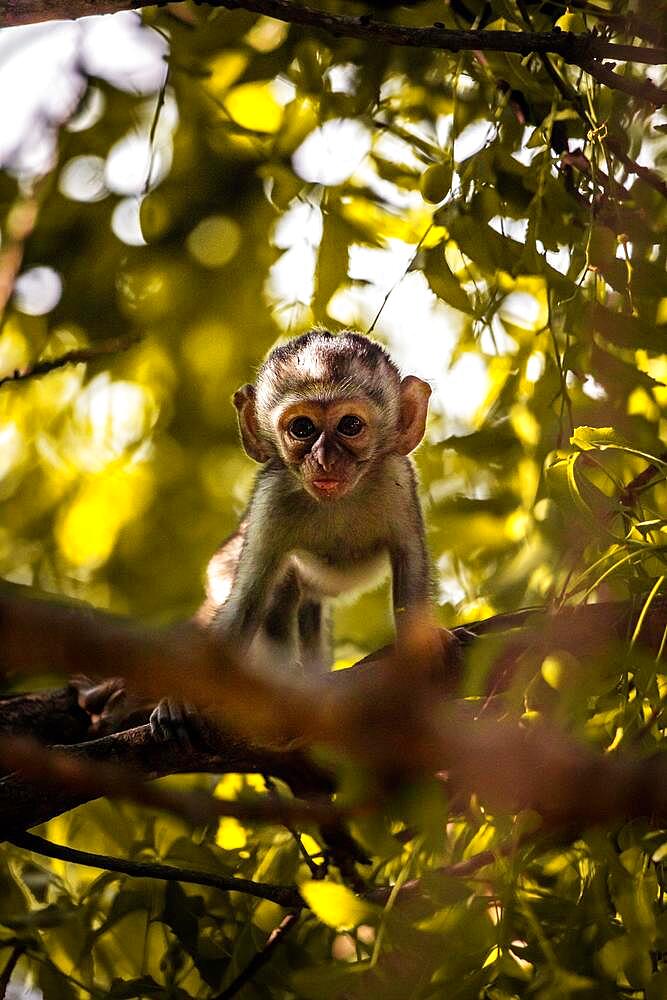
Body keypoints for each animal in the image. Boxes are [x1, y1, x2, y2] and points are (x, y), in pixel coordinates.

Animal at [201, 332, 436, 676]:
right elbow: (247, 603)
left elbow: (410, 561)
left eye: (350, 425)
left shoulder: (397, 481)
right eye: (302, 428)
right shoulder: (271, 499)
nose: (324, 459)